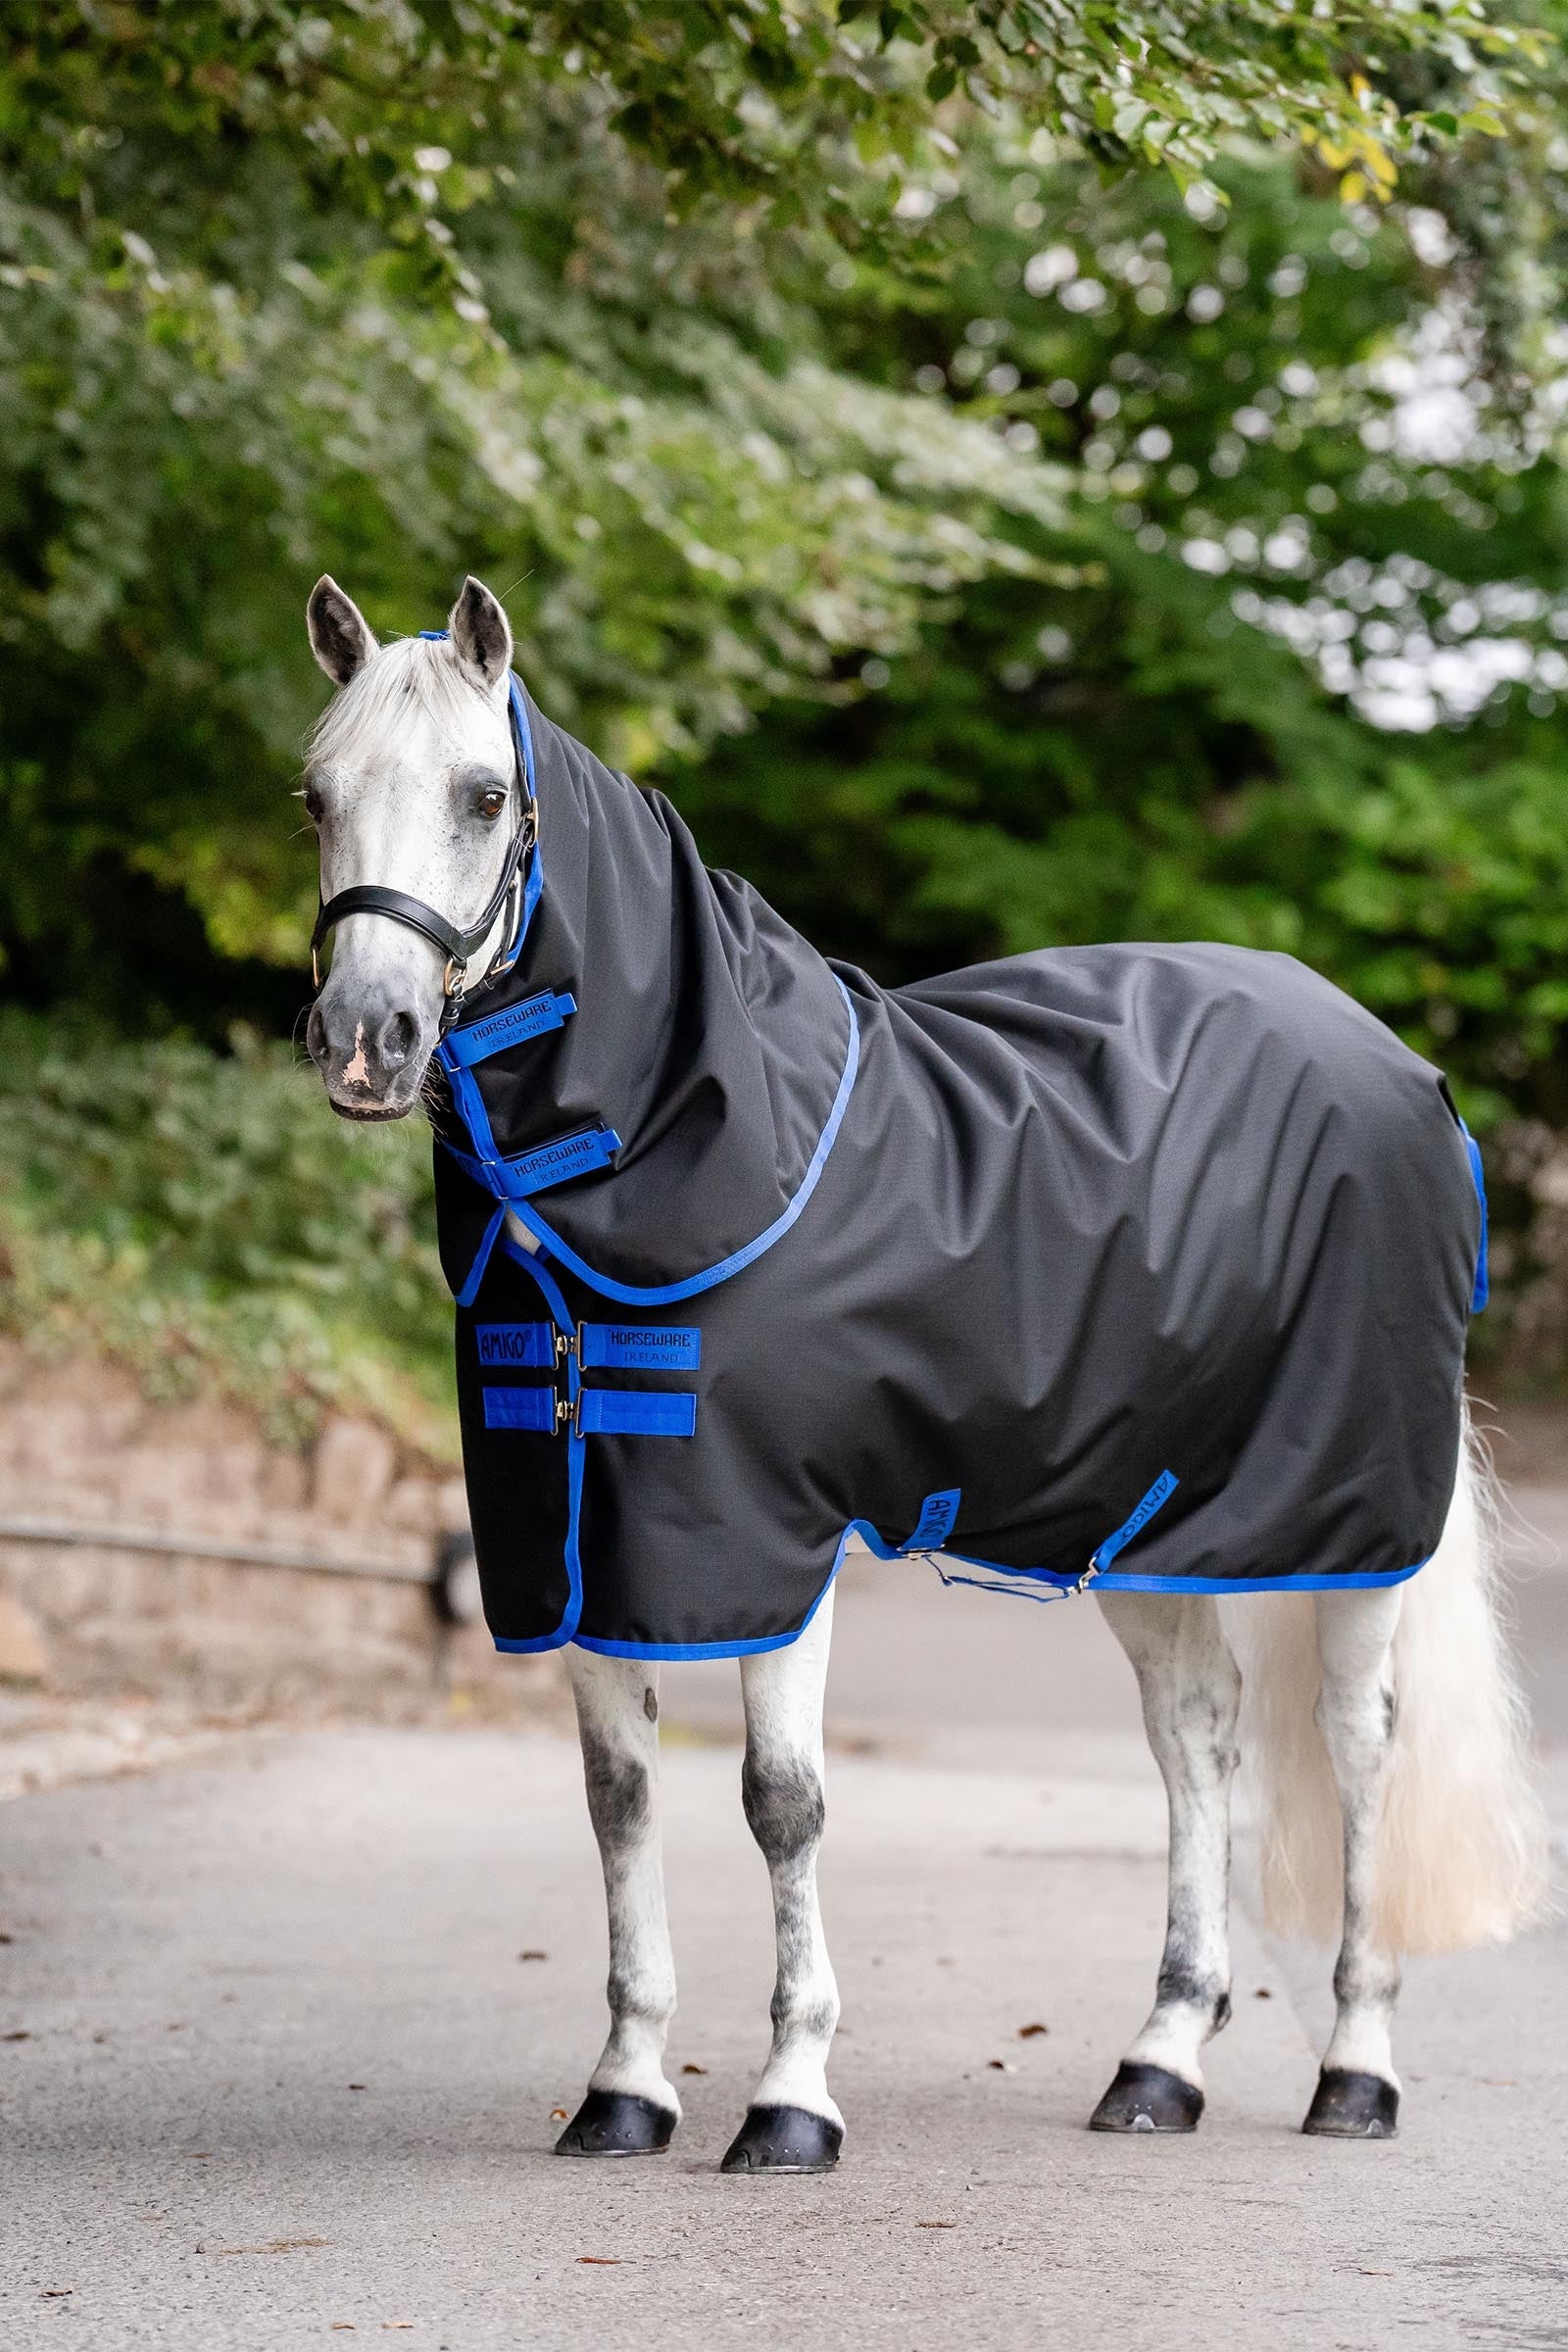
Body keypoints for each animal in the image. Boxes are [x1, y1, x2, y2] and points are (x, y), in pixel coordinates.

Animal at [298, 571, 1546, 2172]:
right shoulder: (578, 1542)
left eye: (483, 793)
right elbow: (618, 1801)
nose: (365, 1041)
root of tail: (1406, 1072)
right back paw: (1158, 2063)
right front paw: (626, 2090)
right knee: (1196, 1738)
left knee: (1362, 1746)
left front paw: (790, 2101)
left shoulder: (771, 1539)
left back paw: (1356, 2071)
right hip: (1143, 1518)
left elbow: (781, 1803)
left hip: (1355, 1521)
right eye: (315, 793)